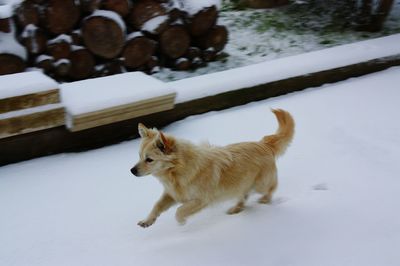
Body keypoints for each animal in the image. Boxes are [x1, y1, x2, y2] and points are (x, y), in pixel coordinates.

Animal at [131, 108, 294, 227]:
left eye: (149, 160)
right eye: (139, 156)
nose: (132, 171)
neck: (177, 172)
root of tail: (263, 144)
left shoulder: (201, 200)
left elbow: (180, 210)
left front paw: (181, 221)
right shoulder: (171, 194)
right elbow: (157, 205)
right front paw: (147, 221)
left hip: (261, 184)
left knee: (272, 187)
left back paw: (265, 200)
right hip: (241, 184)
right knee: (244, 195)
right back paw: (236, 208)